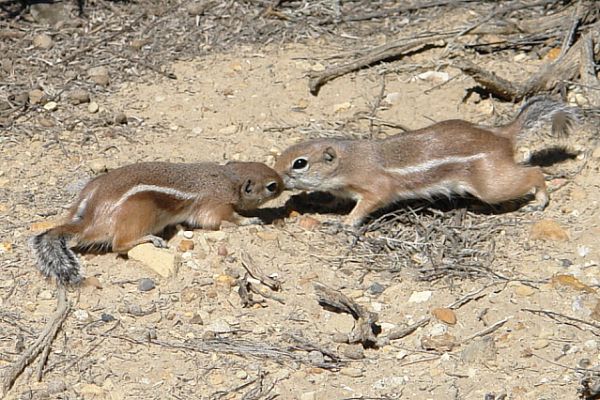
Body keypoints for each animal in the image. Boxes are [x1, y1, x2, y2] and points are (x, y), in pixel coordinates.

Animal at [28, 161, 282, 286]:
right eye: (272, 186)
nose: (284, 183)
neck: (230, 178)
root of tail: (89, 220)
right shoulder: (215, 206)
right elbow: (224, 219)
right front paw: (251, 219)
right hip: (140, 213)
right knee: (119, 244)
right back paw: (149, 238)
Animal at [274, 97, 580, 227]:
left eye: (299, 163)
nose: (276, 178)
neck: (348, 161)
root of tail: (501, 135)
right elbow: (336, 199)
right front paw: (323, 204)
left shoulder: (375, 187)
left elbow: (367, 205)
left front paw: (345, 223)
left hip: (491, 186)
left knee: (534, 172)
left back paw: (540, 200)